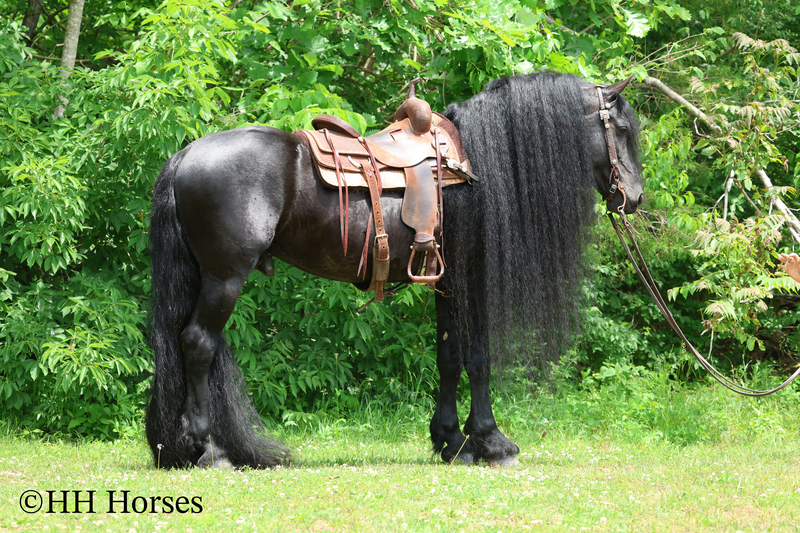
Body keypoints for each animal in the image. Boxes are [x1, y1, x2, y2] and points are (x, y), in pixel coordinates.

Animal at [146, 71, 643, 469]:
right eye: (620, 129)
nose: (635, 197)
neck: (475, 167)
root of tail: (185, 156)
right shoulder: (471, 276)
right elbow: (478, 357)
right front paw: (491, 441)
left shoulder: (446, 283)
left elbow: (449, 357)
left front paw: (451, 441)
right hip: (224, 278)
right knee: (197, 345)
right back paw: (208, 449)